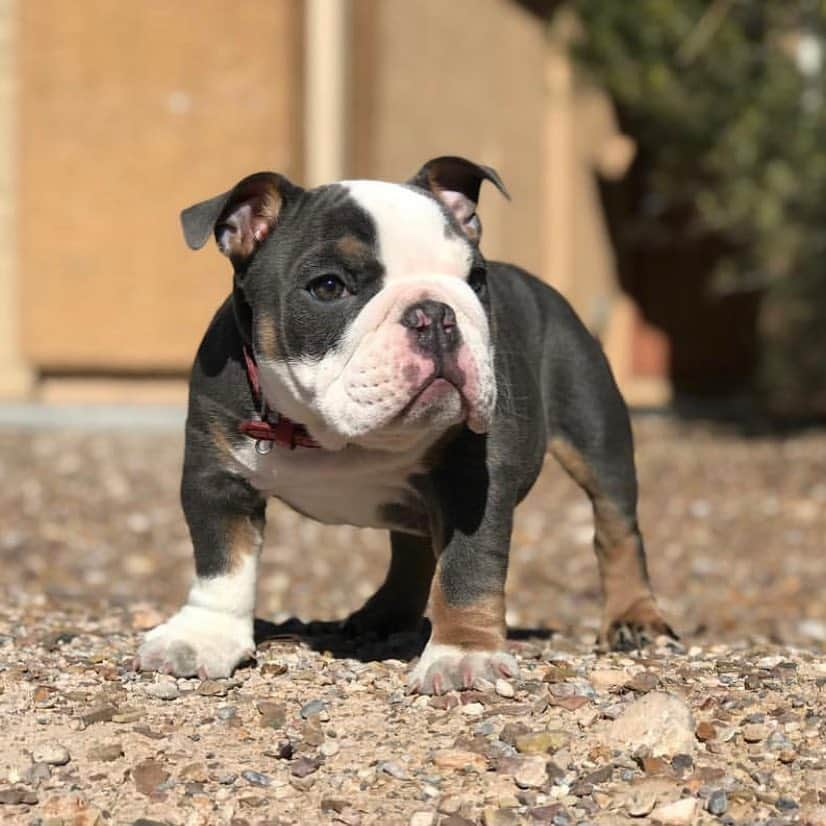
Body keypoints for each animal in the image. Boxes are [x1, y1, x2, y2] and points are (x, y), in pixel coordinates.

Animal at [135, 154, 672, 688]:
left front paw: (462, 654)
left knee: (617, 527)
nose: (435, 314)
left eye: (477, 279)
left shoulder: (473, 479)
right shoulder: (216, 474)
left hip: (596, 432)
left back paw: (635, 619)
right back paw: (384, 614)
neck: (330, 436)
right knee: (414, 548)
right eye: (328, 286)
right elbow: (222, 560)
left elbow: (467, 567)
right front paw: (202, 637)